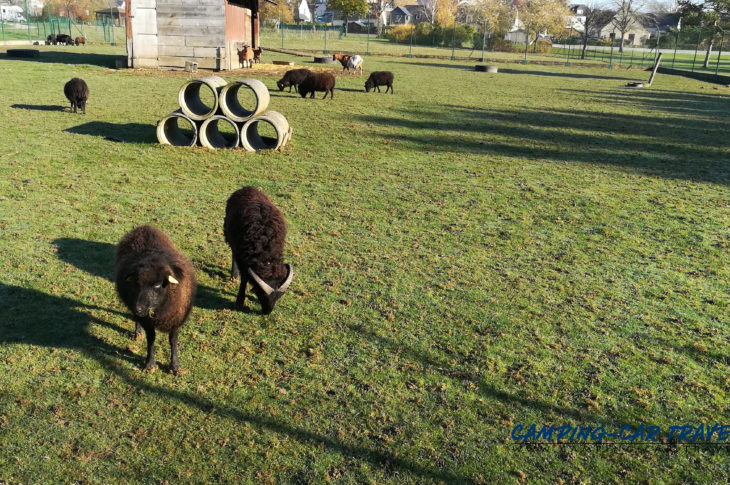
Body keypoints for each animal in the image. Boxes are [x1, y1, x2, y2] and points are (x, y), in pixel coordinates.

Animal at [114, 224, 195, 374]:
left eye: (157, 285)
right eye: (136, 283)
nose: (138, 308)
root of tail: (144, 227)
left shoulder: (176, 319)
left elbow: (173, 341)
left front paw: (175, 366)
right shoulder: (147, 320)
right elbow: (151, 338)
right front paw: (150, 364)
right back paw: (137, 333)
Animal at [223, 185, 292, 314]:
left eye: (279, 296)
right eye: (262, 295)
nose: (267, 312)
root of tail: (247, 187)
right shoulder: (243, 257)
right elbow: (244, 279)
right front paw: (239, 300)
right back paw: (234, 275)